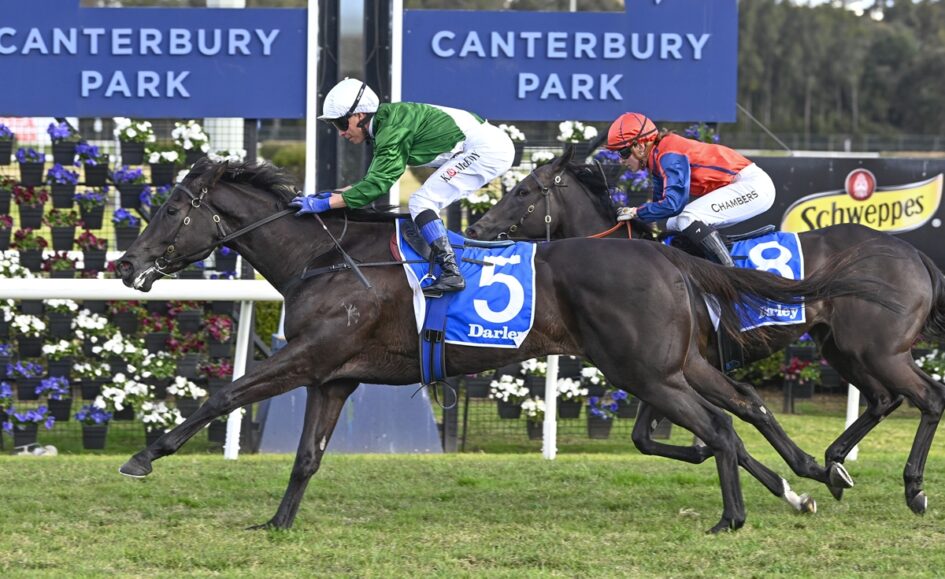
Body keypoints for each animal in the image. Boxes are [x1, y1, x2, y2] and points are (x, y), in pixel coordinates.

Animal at [115, 159, 892, 533]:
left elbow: (223, 393)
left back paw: (735, 516)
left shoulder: (308, 356)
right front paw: (276, 523)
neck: (327, 258)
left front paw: (144, 455)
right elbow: (306, 456)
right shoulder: (333, 376)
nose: (127, 264)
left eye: (171, 208)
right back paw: (803, 481)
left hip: (644, 369)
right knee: (739, 412)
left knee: (721, 427)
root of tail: (667, 258)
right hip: (674, 363)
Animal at [466, 147, 945, 515]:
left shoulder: (670, 366)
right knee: (884, 398)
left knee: (928, 396)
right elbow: (647, 437)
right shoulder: (667, 367)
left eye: (523, 190)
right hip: (843, 348)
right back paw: (836, 464)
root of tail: (911, 252)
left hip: (877, 349)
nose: (476, 228)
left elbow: (723, 419)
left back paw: (914, 489)